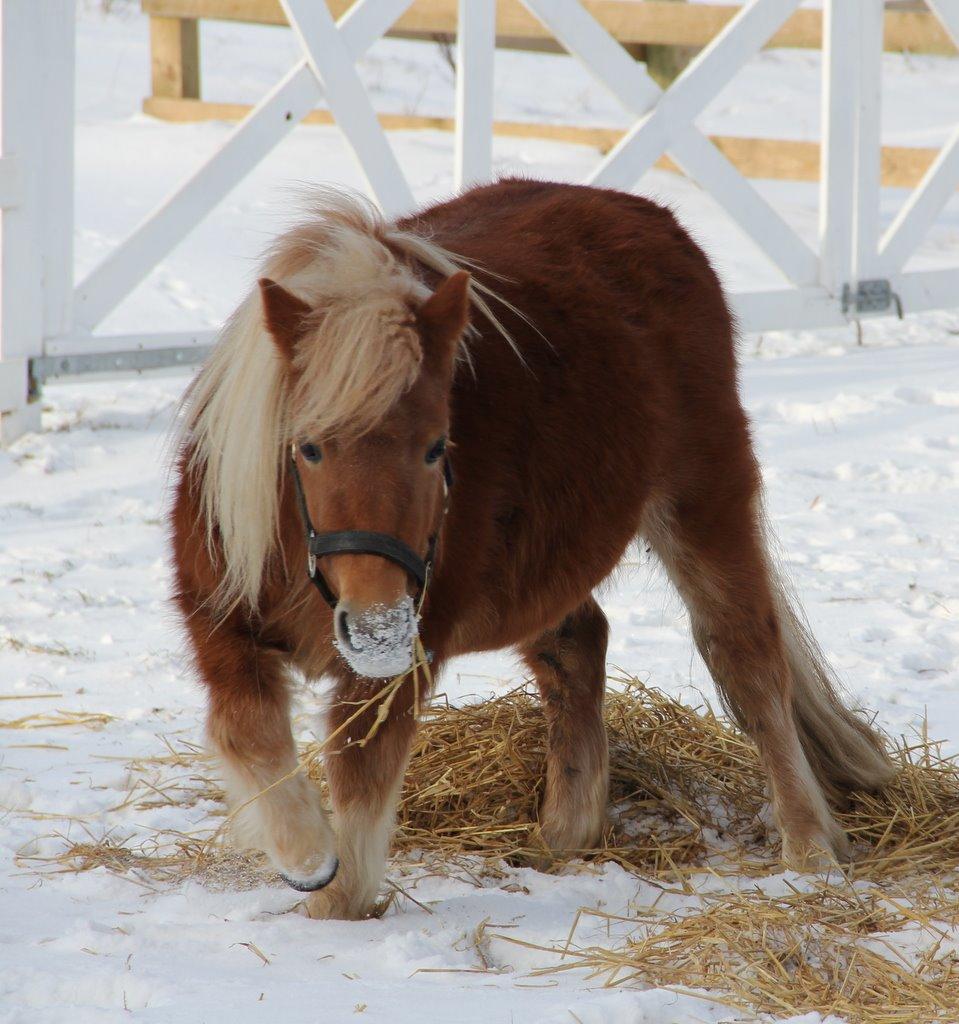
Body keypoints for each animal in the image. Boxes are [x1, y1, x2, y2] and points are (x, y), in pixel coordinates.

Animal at [169, 178, 892, 921]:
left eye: (437, 447)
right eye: (307, 447)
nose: (377, 628)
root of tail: (645, 213)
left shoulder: (399, 665)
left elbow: (359, 787)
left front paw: (328, 886)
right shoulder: (216, 624)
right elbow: (245, 731)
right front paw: (304, 853)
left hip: (702, 501)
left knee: (746, 658)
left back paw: (809, 851)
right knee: (577, 648)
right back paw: (564, 834)